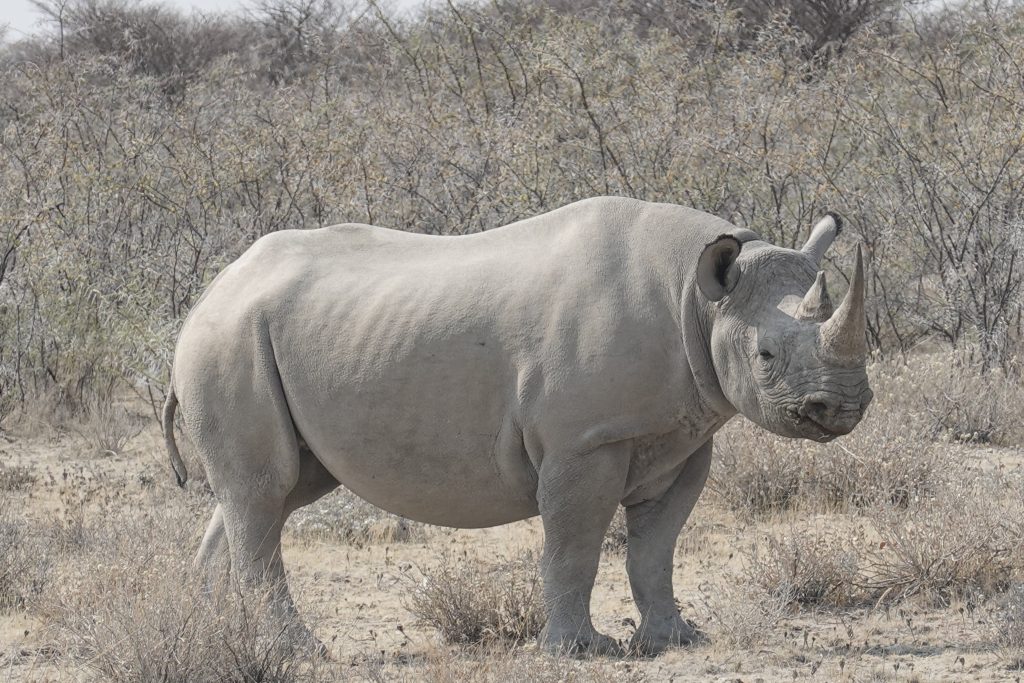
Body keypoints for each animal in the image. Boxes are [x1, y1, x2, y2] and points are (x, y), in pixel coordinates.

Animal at [163, 196, 872, 655]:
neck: (699, 298)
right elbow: (575, 544)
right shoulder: (586, 441)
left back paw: (209, 635)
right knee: (264, 492)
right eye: (766, 355)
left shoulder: (682, 436)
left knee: (271, 492)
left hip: (262, 337)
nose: (842, 408)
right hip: (229, 339)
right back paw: (298, 653)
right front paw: (578, 651)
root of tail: (209, 292)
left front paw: (675, 640)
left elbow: (656, 547)